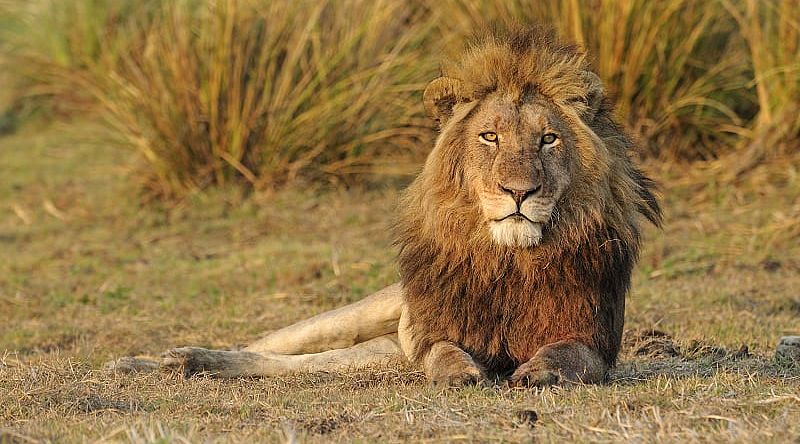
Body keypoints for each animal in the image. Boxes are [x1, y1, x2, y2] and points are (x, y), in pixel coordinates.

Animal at [109, 27, 660, 386]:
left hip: (378, 351)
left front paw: (536, 371)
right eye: (489, 136)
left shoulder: (593, 336)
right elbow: (441, 353)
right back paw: (153, 361)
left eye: (548, 139)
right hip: (359, 318)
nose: (518, 192)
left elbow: (567, 355)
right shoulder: (431, 333)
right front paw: (461, 373)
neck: (508, 261)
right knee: (262, 346)